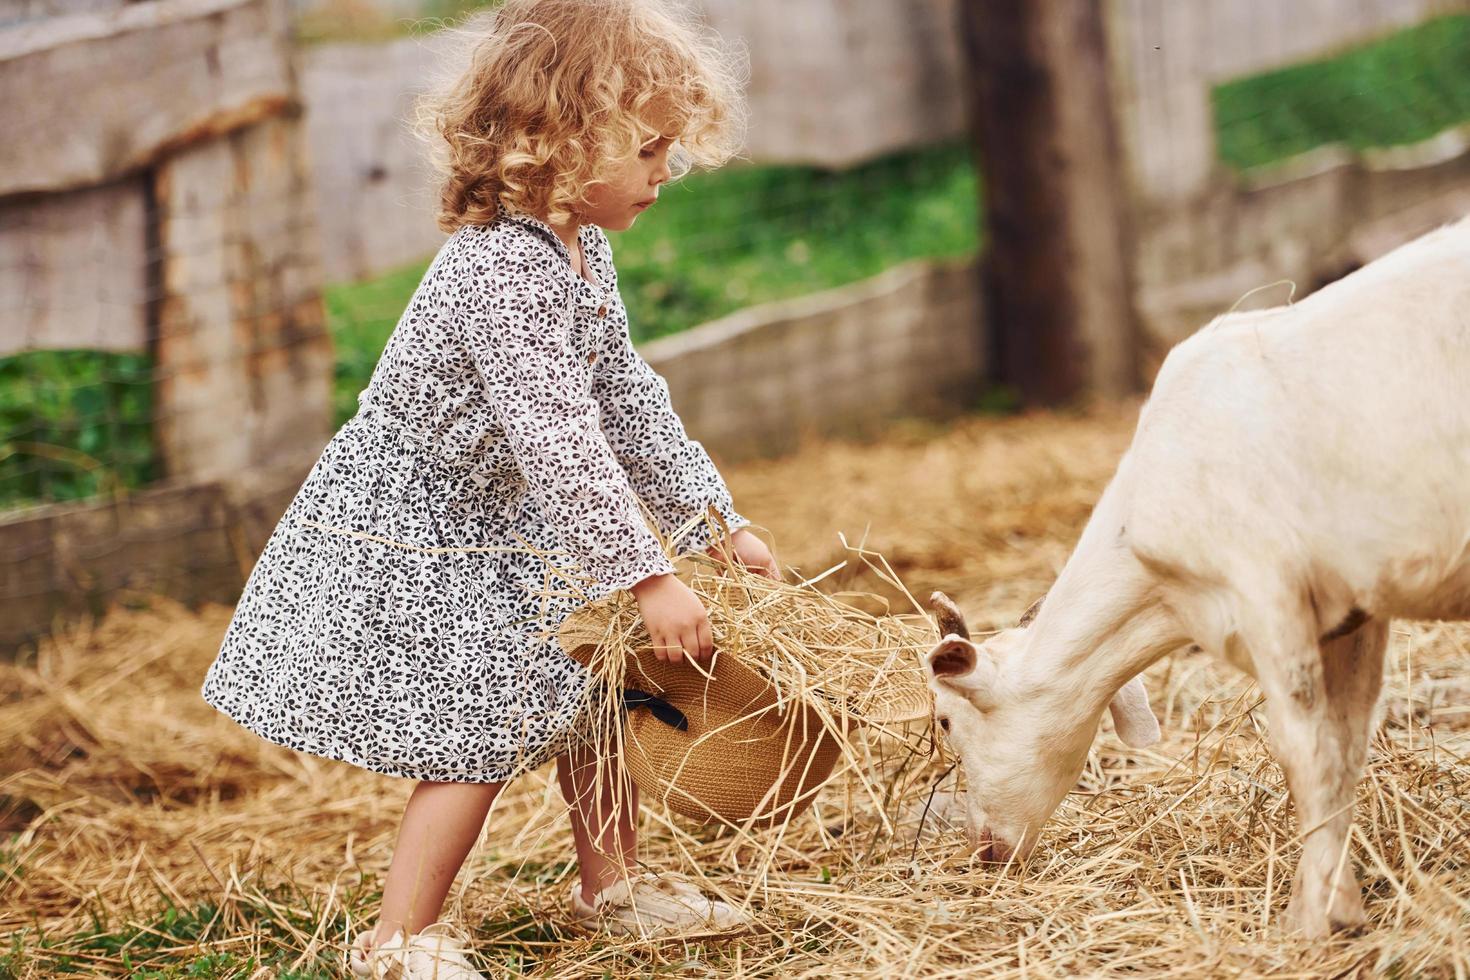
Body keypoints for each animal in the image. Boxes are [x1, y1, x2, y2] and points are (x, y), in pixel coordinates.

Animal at [929, 214, 1470, 934]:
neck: (1162, 587)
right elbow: (1347, 744)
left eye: (945, 721)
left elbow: (1304, 750)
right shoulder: (1353, 611)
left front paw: (1313, 917)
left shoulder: (1264, 588)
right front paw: (1342, 903)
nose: (983, 849)